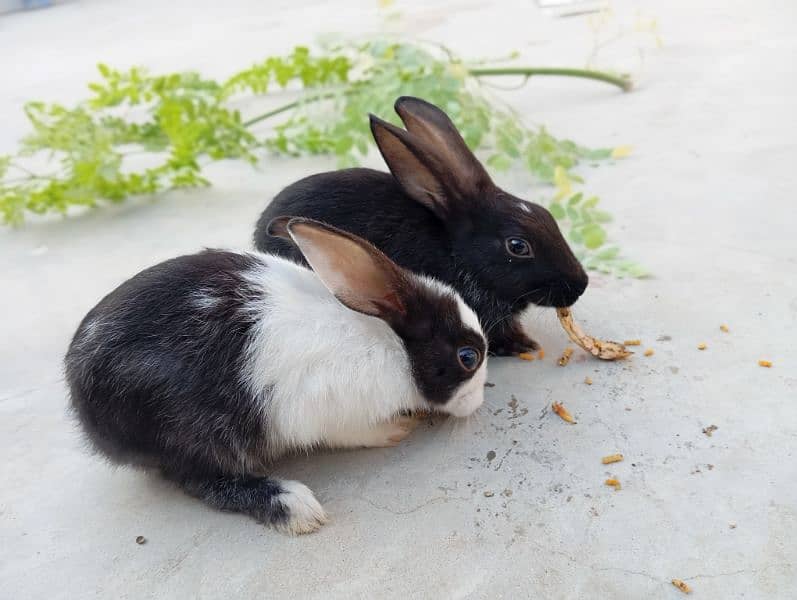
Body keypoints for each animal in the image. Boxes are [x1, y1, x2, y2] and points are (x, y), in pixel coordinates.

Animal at [65, 217, 486, 536]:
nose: (479, 402)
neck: (393, 345)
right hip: (187, 431)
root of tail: (84, 409)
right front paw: (396, 428)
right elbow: (354, 432)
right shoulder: (330, 413)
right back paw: (292, 506)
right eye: (468, 357)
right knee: (200, 479)